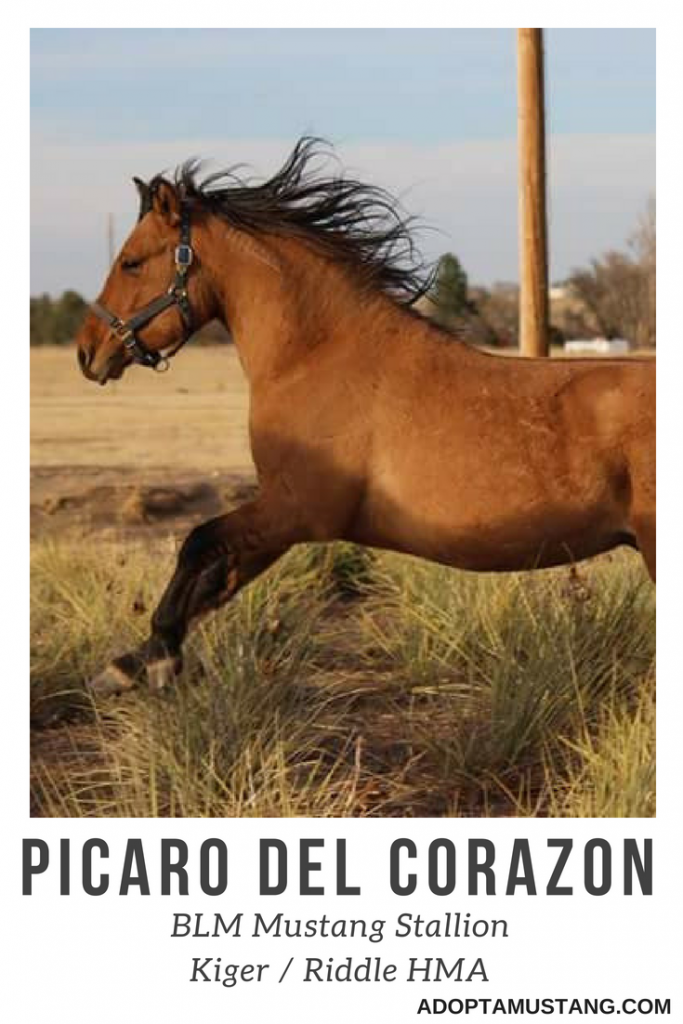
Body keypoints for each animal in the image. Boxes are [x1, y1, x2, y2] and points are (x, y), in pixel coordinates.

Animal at [75, 137, 656, 696]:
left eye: (131, 261)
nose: (88, 352)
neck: (316, 355)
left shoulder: (296, 511)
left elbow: (198, 543)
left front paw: (147, 660)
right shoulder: (280, 521)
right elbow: (217, 578)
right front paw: (138, 660)